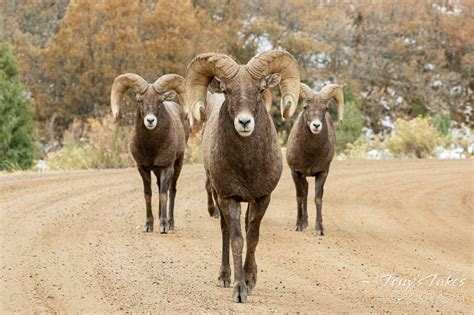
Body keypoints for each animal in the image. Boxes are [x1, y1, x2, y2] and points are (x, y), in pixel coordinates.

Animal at [110, 73, 190, 233]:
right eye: (139, 101)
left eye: (160, 101)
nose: (150, 120)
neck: (152, 148)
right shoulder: (143, 168)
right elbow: (148, 194)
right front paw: (149, 225)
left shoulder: (167, 168)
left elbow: (164, 194)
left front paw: (163, 226)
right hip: (157, 171)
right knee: (159, 187)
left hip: (178, 164)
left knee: (172, 190)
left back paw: (170, 223)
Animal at [185, 50, 300, 302]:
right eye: (227, 90)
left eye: (260, 89)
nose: (244, 122)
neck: (247, 166)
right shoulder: (229, 198)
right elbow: (237, 239)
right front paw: (239, 289)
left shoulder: (262, 198)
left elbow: (253, 236)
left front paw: (249, 280)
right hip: (217, 195)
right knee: (225, 231)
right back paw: (224, 276)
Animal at [286, 82, 344, 236]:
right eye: (305, 107)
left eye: (326, 108)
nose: (316, 125)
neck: (310, 154)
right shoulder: (296, 172)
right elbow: (299, 197)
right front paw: (298, 226)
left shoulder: (322, 173)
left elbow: (318, 198)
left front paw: (320, 229)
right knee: (304, 192)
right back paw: (303, 223)